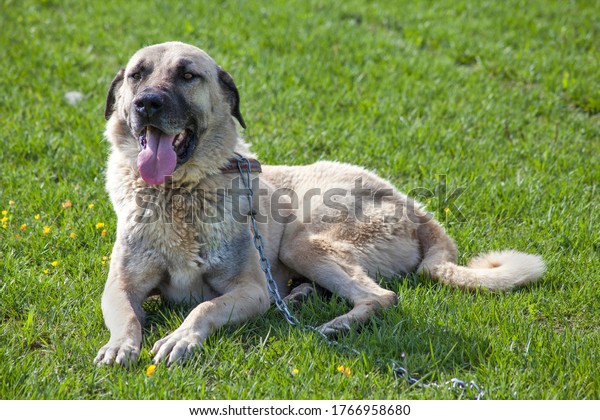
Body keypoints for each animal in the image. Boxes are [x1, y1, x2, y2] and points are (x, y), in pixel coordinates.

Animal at [92, 41, 544, 366]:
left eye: (187, 75)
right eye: (137, 75)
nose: (147, 103)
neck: (180, 193)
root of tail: (414, 206)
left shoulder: (251, 290)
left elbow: (204, 307)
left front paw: (181, 338)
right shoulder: (121, 286)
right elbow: (128, 315)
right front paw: (120, 346)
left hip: (303, 241)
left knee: (382, 297)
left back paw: (337, 324)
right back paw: (299, 298)